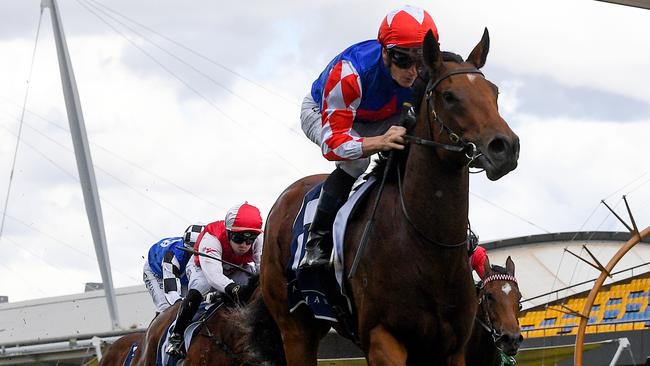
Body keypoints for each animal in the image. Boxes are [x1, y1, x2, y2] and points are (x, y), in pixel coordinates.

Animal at [260, 29, 520, 366]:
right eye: (449, 96)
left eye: (495, 92)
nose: (505, 147)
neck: (425, 243)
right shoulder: (383, 338)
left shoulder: (450, 348)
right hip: (294, 328)